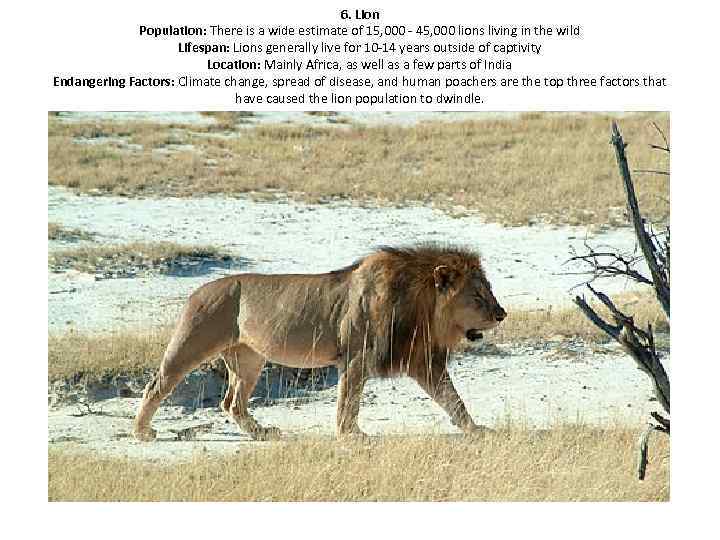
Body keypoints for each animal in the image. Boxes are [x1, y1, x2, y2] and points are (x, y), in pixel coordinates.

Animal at [134, 244, 506, 441]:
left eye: (488, 290)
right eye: (477, 296)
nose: (502, 314)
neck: (422, 309)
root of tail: (197, 291)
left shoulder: (422, 360)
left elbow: (453, 400)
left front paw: (476, 429)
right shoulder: (357, 357)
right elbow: (348, 400)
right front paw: (351, 435)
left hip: (250, 359)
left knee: (232, 402)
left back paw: (260, 433)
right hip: (191, 343)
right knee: (157, 385)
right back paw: (142, 431)